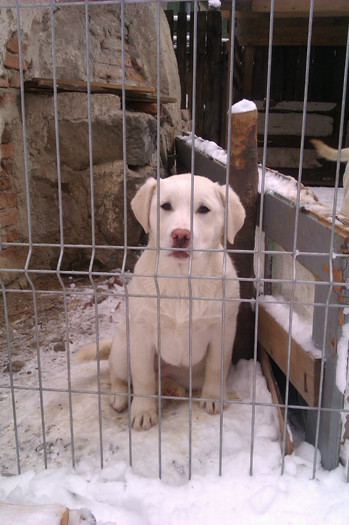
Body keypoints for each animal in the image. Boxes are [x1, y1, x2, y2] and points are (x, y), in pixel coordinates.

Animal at [77, 174, 245, 428]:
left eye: (203, 209)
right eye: (166, 206)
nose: (180, 235)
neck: (180, 278)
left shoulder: (222, 330)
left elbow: (217, 367)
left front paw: (213, 397)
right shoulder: (142, 334)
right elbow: (143, 376)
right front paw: (143, 411)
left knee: (163, 380)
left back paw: (172, 390)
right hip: (123, 345)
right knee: (119, 374)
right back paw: (120, 395)